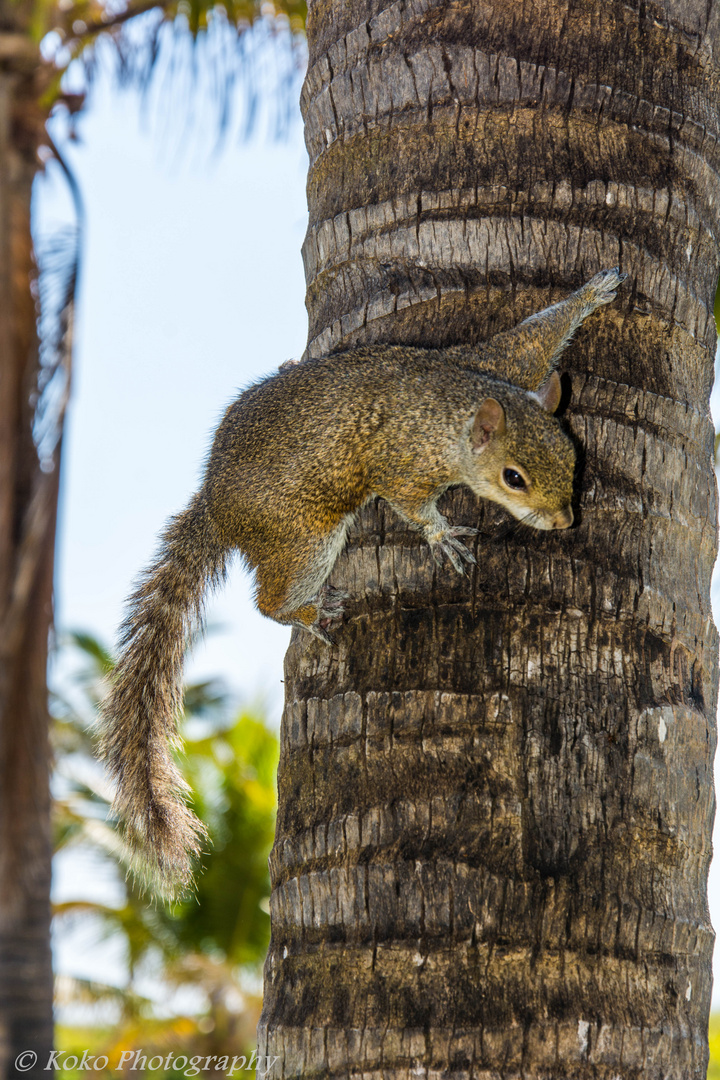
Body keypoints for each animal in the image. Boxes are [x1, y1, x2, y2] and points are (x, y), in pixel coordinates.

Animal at [98, 267, 626, 894]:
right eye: (513, 478)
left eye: (572, 456)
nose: (566, 521)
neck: (449, 413)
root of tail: (217, 506)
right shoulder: (404, 463)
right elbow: (412, 505)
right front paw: (441, 536)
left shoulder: (492, 362)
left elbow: (531, 336)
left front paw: (592, 293)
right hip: (307, 538)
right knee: (268, 599)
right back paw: (304, 611)